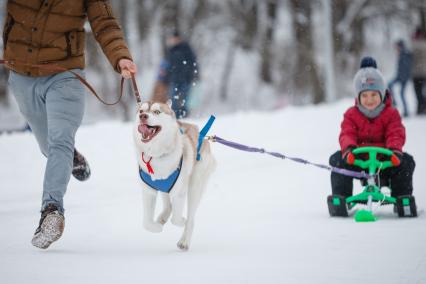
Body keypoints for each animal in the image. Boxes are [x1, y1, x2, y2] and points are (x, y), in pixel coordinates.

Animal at [132, 100, 216, 251]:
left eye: (157, 112)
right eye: (141, 111)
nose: (143, 117)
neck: (156, 156)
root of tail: (202, 135)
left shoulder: (179, 192)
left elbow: (176, 219)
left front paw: (181, 221)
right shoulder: (148, 191)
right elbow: (146, 223)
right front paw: (157, 228)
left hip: (194, 186)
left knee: (191, 218)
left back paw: (184, 240)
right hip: (165, 188)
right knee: (168, 205)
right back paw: (162, 218)